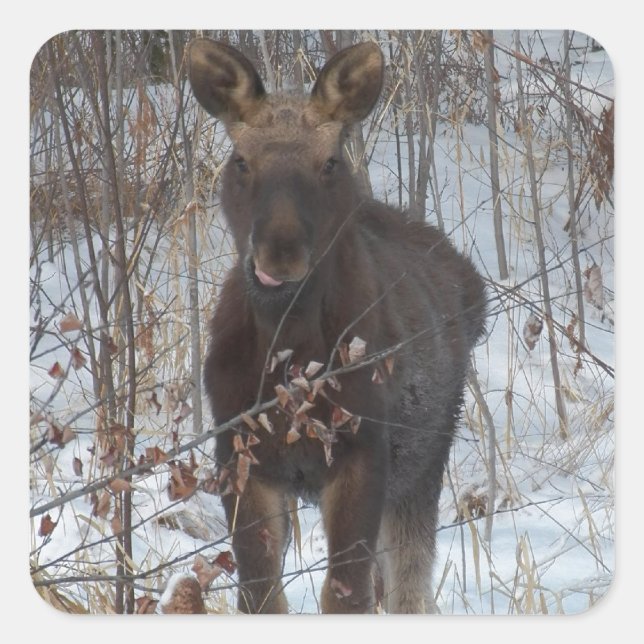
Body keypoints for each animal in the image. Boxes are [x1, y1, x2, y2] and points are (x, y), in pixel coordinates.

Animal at [187, 37, 486, 614]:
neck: (291, 350)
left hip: (424, 461)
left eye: (329, 162)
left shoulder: (364, 452)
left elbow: (345, 593)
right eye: (241, 161)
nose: (281, 252)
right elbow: (261, 594)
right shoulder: (240, 454)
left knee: (408, 586)